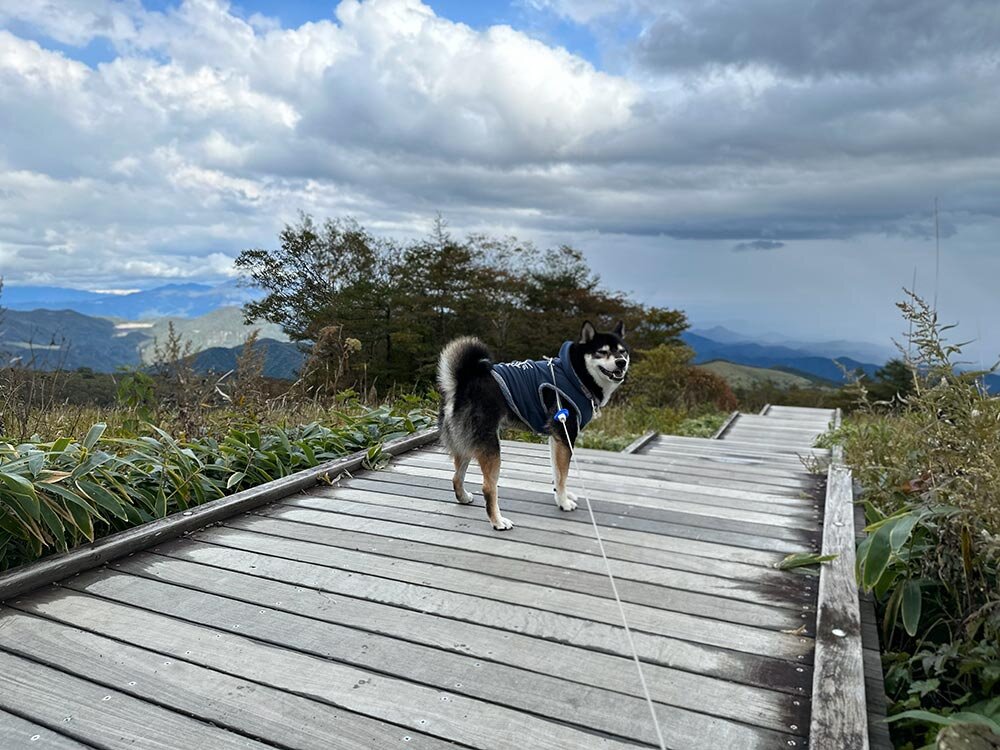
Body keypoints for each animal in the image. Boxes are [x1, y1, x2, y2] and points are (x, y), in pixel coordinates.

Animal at [436, 322, 628, 528]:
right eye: (602, 352)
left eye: (623, 352)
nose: (621, 362)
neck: (576, 374)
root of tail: (461, 383)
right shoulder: (565, 435)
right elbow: (563, 474)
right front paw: (563, 502)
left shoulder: (557, 439)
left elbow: (558, 473)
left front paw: (562, 495)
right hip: (491, 446)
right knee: (488, 487)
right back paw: (498, 521)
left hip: (465, 443)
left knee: (457, 476)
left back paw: (463, 497)